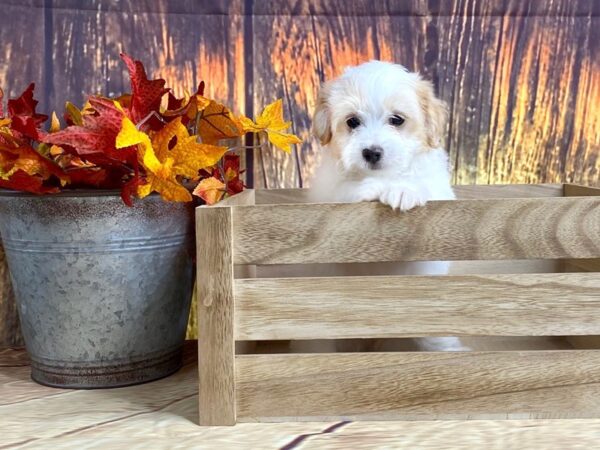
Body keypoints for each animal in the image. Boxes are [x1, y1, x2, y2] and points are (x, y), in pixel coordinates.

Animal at [304, 61, 468, 354]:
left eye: (397, 120)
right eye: (352, 121)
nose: (371, 152)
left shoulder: (439, 189)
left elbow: (425, 187)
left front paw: (403, 190)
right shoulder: (327, 191)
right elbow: (347, 191)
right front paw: (373, 189)